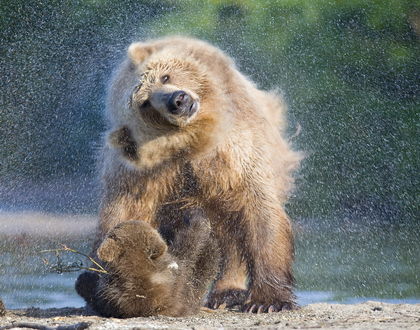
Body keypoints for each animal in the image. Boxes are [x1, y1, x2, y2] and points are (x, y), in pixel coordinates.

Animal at [76, 211, 220, 318]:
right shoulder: (174, 274)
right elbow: (189, 248)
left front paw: (85, 277)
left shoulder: (110, 295)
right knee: (209, 260)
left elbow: (93, 293)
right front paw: (196, 220)